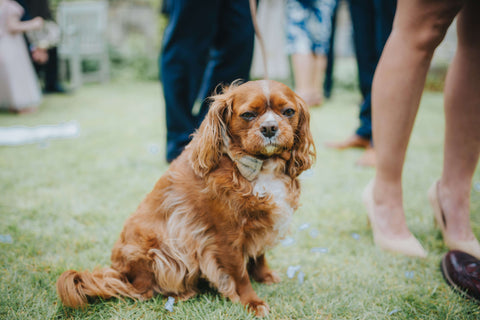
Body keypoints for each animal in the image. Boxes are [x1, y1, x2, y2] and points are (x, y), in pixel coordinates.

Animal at [57, 80, 316, 318]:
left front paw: (264, 276)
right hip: (157, 250)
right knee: (142, 291)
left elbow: (258, 254)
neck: (257, 166)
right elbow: (239, 273)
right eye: (248, 115)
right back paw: (182, 293)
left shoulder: (260, 222)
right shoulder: (224, 236)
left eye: (288, 112)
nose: (270, 127)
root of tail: (121, 273)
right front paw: (251, 302)